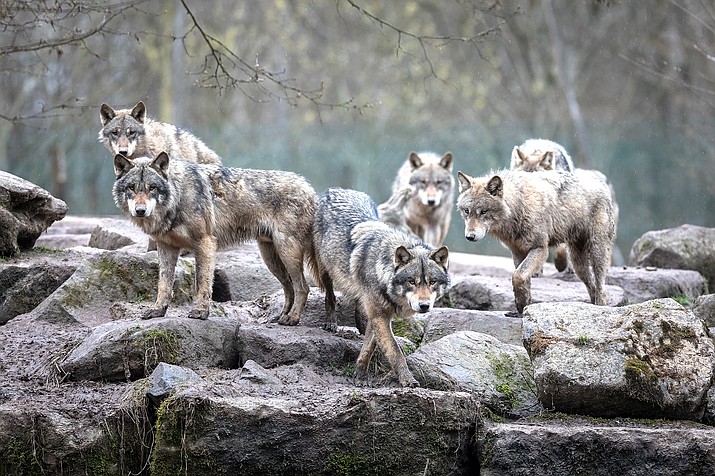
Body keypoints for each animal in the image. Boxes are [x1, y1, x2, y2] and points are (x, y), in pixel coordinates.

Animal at [112, 152, 318, 324]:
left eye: (152, 188)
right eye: (132, 188)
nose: (140, 211)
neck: (178, 197)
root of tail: (310, 189)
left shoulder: (205, 242)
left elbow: (202, 281)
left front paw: (200, 312)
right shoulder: (166, 247)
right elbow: (163, 284)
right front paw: (157, 311)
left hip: (286, 252)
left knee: (302, 287)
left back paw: (292, 319)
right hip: (270, 258)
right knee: (289, 287)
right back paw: (281, 317)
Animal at [314, 186, 448, 386]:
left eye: (432, 282)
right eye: (411, 281)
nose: (424, 306)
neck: (382, 270)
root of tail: (337, 189)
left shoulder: (379, 316)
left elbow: (368, 348)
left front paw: (360, 375)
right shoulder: (380, 316)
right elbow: (395, 351)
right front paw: (407, 379)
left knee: (359, 305)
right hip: (325, 269)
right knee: (330, 295)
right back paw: (331, 322)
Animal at [458, 169, 616, 314]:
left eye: (483, 212)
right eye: (467, 211)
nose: (470, 236)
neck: (519, 206)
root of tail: (600, 182)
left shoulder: (540, 249)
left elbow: (518, 275)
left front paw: (522, 305)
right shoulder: (518, 252)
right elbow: (522, 279)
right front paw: (523, 306)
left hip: (596, 252)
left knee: (601, 286)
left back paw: (600, 307)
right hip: (578, 264)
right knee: (592, 286)